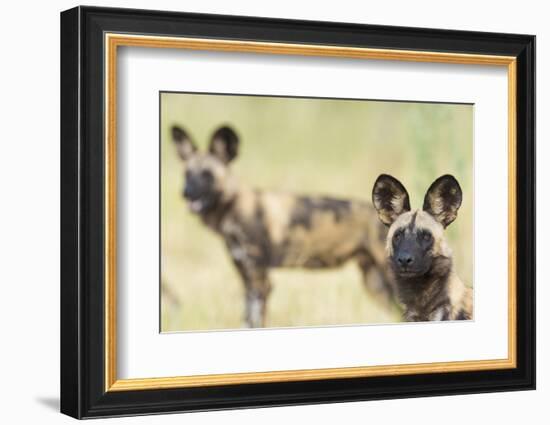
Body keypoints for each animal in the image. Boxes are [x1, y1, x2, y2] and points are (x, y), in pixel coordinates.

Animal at [171, 124, 396, 326]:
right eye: (187, 174)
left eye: (207, 174)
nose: (185, 193)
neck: (233, 208)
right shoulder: (247, 280)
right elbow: (247, 321)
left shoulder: (260, 281)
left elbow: (256, 321)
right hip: (375, 282)